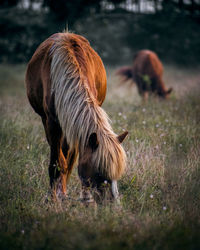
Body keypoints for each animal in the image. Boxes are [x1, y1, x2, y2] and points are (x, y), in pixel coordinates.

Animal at [25, 31, 128, 205]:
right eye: (99, 173)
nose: (112, 204)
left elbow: (68, 160)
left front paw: (83, 198)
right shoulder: (52, 123)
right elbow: (56, 162)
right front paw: (53, 198)